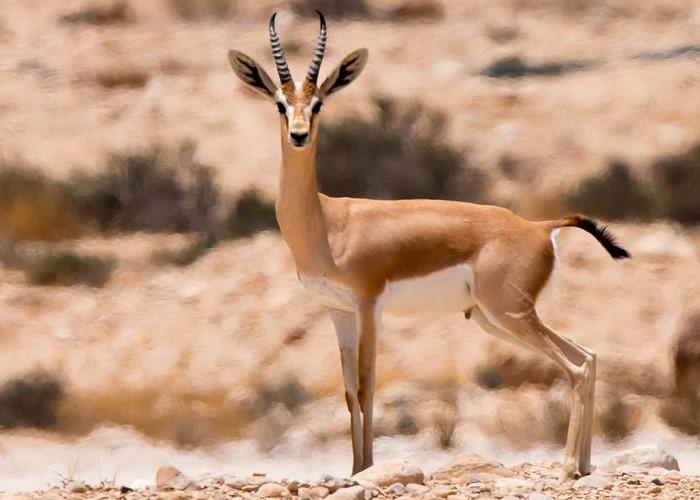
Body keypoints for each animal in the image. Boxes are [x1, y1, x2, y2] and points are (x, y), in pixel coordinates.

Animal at [226, 11, 630, 481]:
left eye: (318, 104)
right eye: (280, 103)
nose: (298, 135)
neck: (327, 223)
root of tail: (540, 226)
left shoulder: (369, 305)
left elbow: (367, 386)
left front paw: (366, 469)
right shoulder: (337, 311)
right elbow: (348, 391)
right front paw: (353, 468)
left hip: (508, 313)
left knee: (578, 367)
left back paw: (567, 469)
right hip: (495, 318)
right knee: (590, 355)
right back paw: (584, 467)